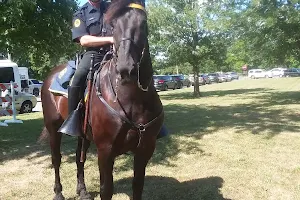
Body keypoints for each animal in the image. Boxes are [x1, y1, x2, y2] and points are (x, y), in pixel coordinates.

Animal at [39, 0, 164, 199]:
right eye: (113, 25)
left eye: (143, 23)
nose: (126, 68)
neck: (132, 100)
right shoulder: (105, 151)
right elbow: (106, 190)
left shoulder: (145, 148)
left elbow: (137, 186)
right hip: (53, 128)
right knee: (56, 159)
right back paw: (58, 193)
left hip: (83, 134)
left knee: (79, 158)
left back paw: (82, 190)